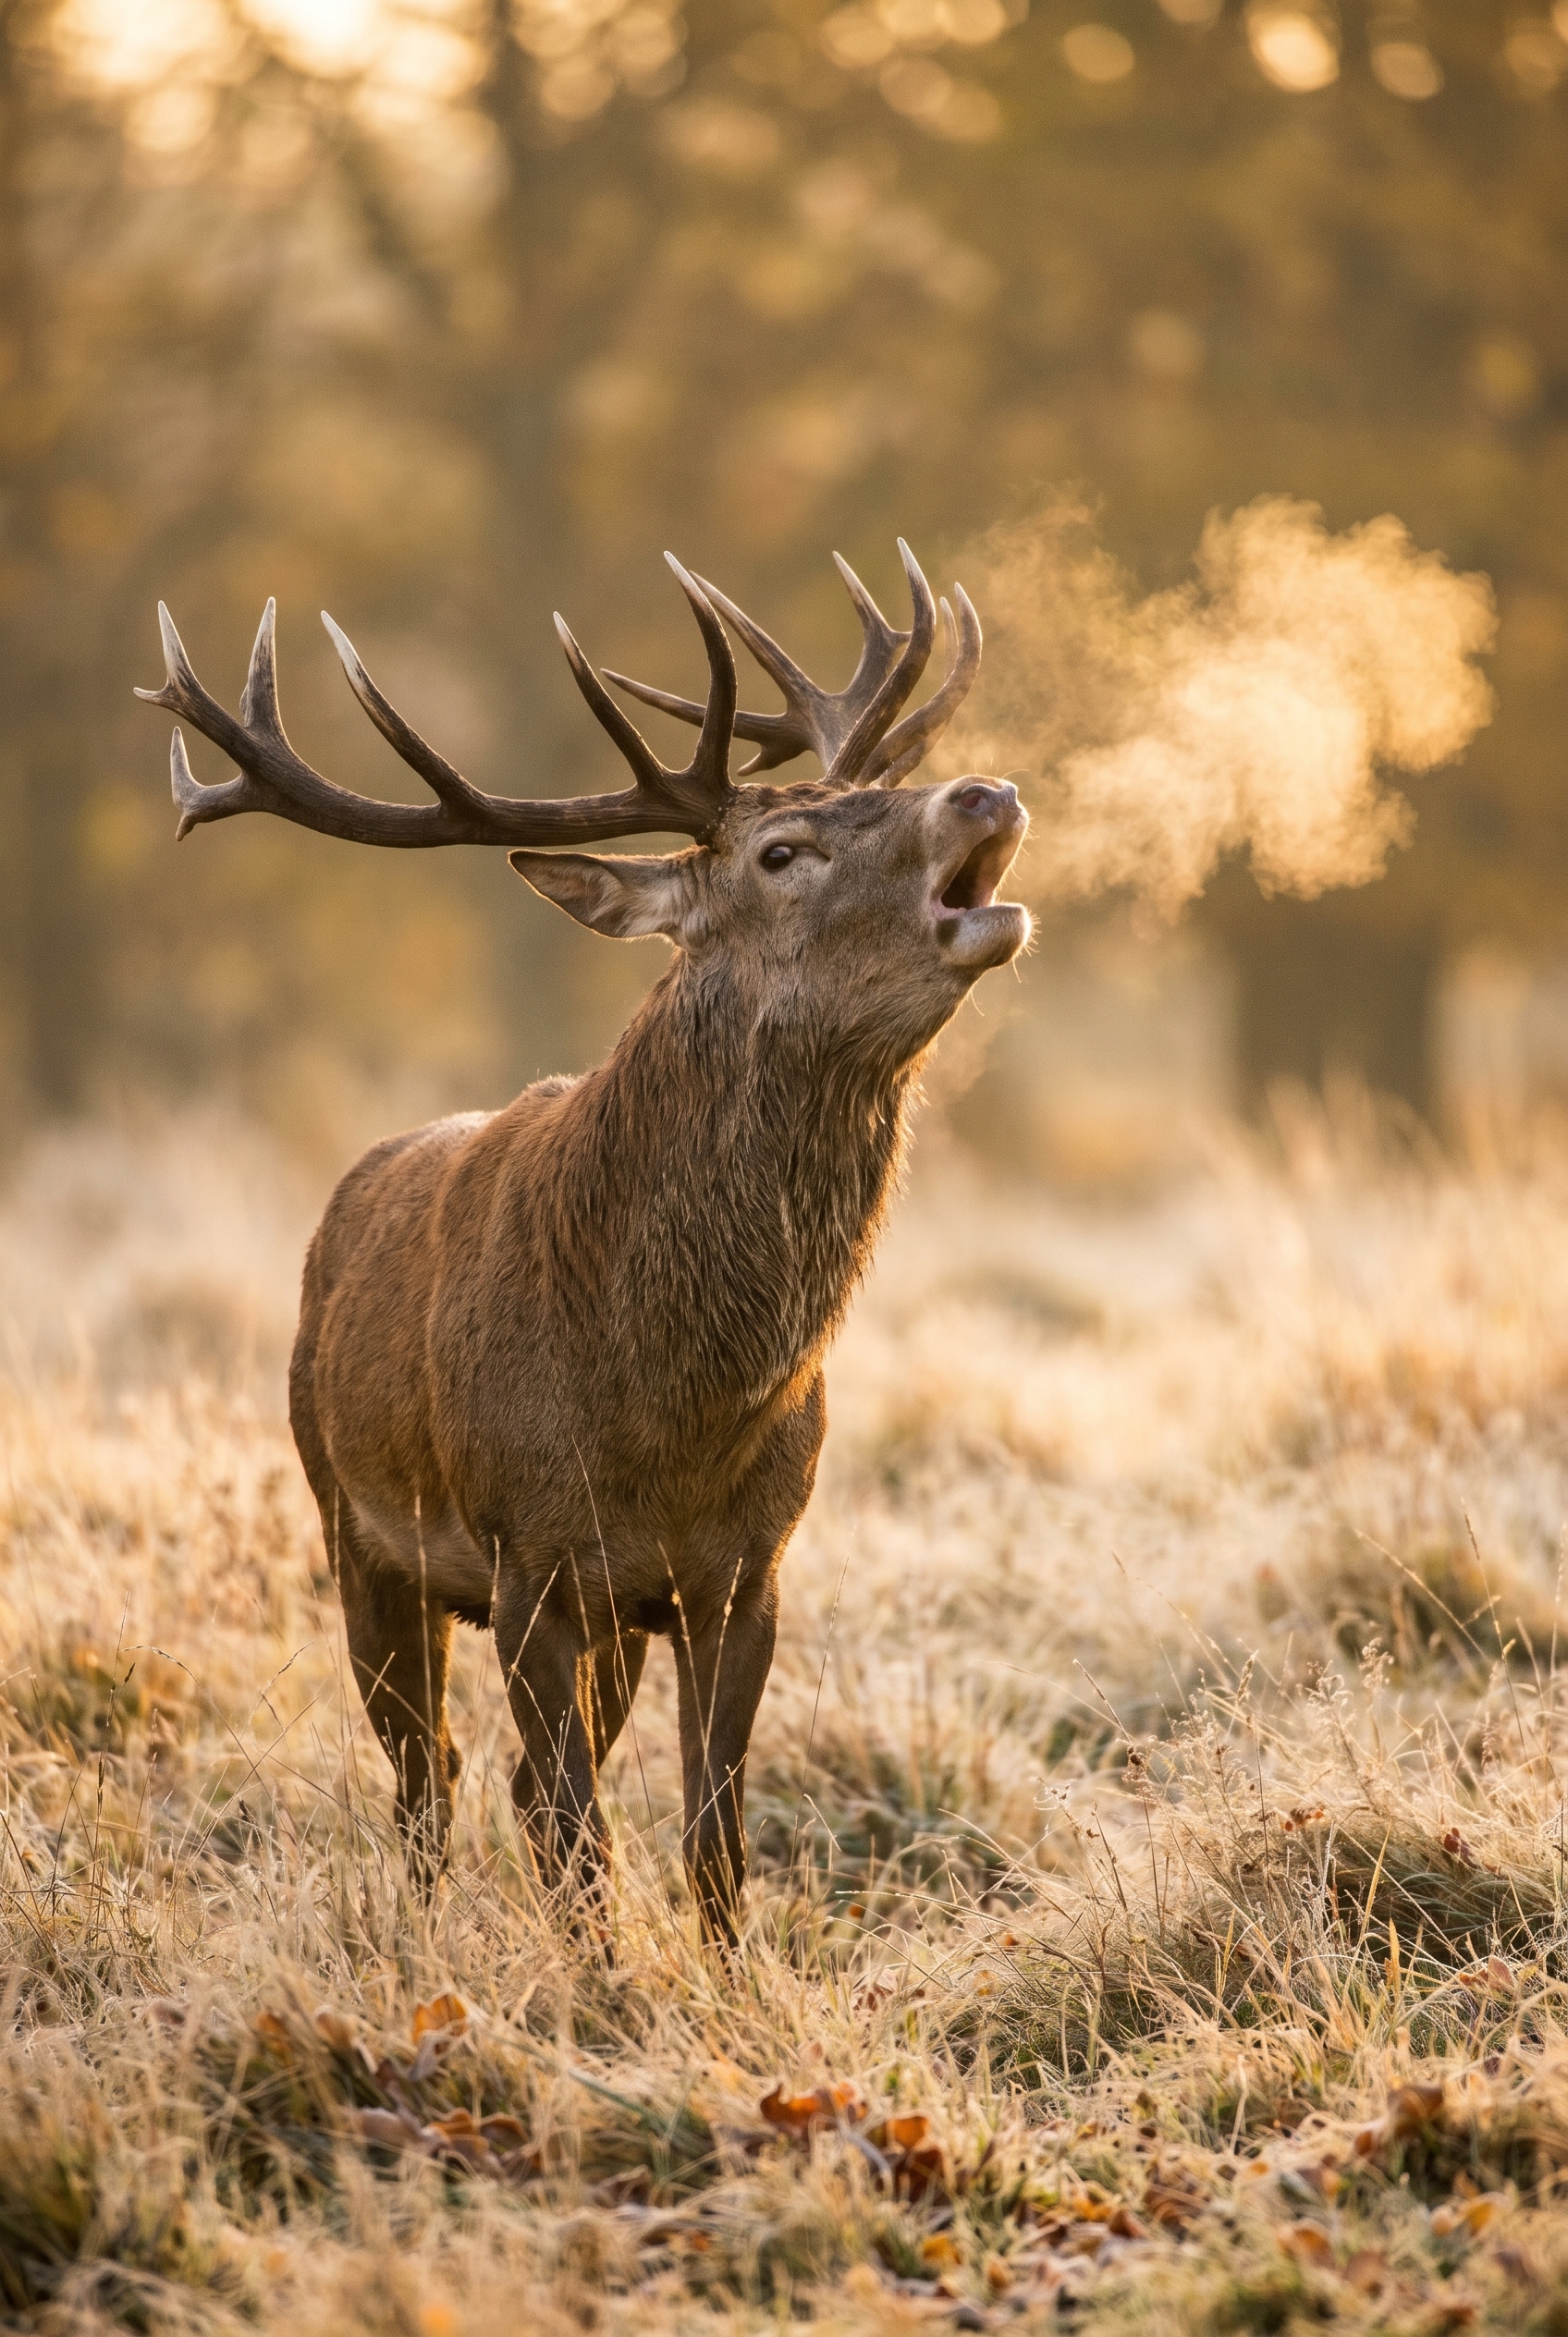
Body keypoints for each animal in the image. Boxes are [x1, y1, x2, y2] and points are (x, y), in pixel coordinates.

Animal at [137, 544, 1029, 1940]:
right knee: (432, 1774)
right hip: (351, 1524)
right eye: (781, 849)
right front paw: (600, 1983)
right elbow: (579, 1838)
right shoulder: (529, 1567)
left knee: (498, 1779)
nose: (984, 791)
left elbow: (710, 1839)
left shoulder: (744, 1573)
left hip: (600, 1614)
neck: (667, 1410)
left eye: (869, 794)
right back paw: (420, 1931)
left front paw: (724, 1981)